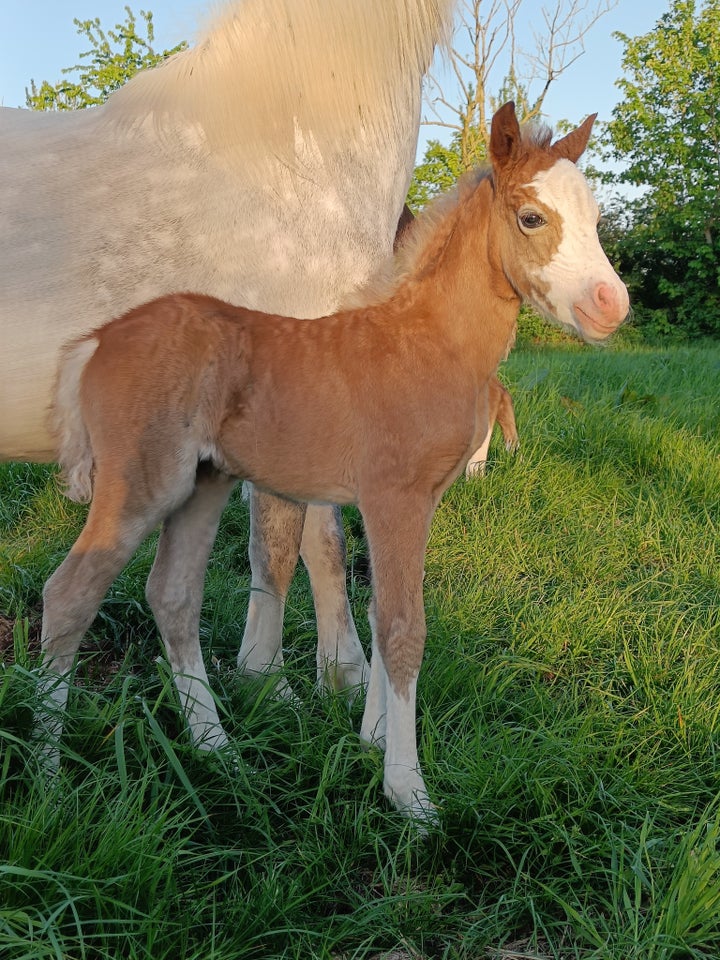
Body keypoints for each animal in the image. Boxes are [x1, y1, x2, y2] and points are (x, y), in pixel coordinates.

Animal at [43, 105, 624, 824]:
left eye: (597, 218)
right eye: (531, 217)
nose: (611, 304)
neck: (427, 342)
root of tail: (97, 340)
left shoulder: (407, 503)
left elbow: (379, 609)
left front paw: (372, 739)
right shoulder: (394, 498)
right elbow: (403, 626)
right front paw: (408, 792)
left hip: (202, 484)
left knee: (173, 596)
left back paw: (218, 752)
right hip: (142, 485)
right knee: (69, 596)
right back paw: (47, 780)